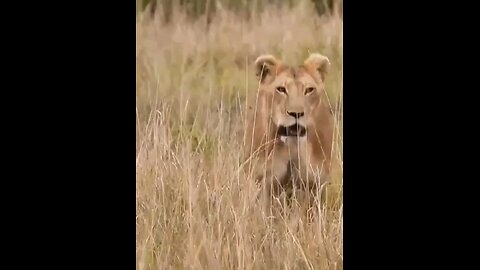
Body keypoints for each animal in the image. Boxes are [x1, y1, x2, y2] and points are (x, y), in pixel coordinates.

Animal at [244, 51, 334, 206]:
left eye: (309, 90)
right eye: (281, 89)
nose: (296, 113)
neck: (292, 147)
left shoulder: (314, 184)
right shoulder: (262, 181)